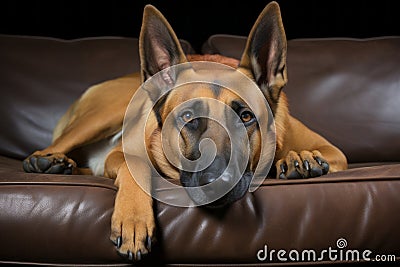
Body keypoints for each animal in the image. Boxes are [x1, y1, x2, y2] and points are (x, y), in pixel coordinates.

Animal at [22, 1, 346, 262]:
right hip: (107, 112)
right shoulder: (122, 154)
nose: (217, 182)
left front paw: (297, 157)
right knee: (55, 147)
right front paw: (134, 219)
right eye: (188, 116)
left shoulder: (334, 152)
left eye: (245, 116)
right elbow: (136, 167)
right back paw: (48, 162)